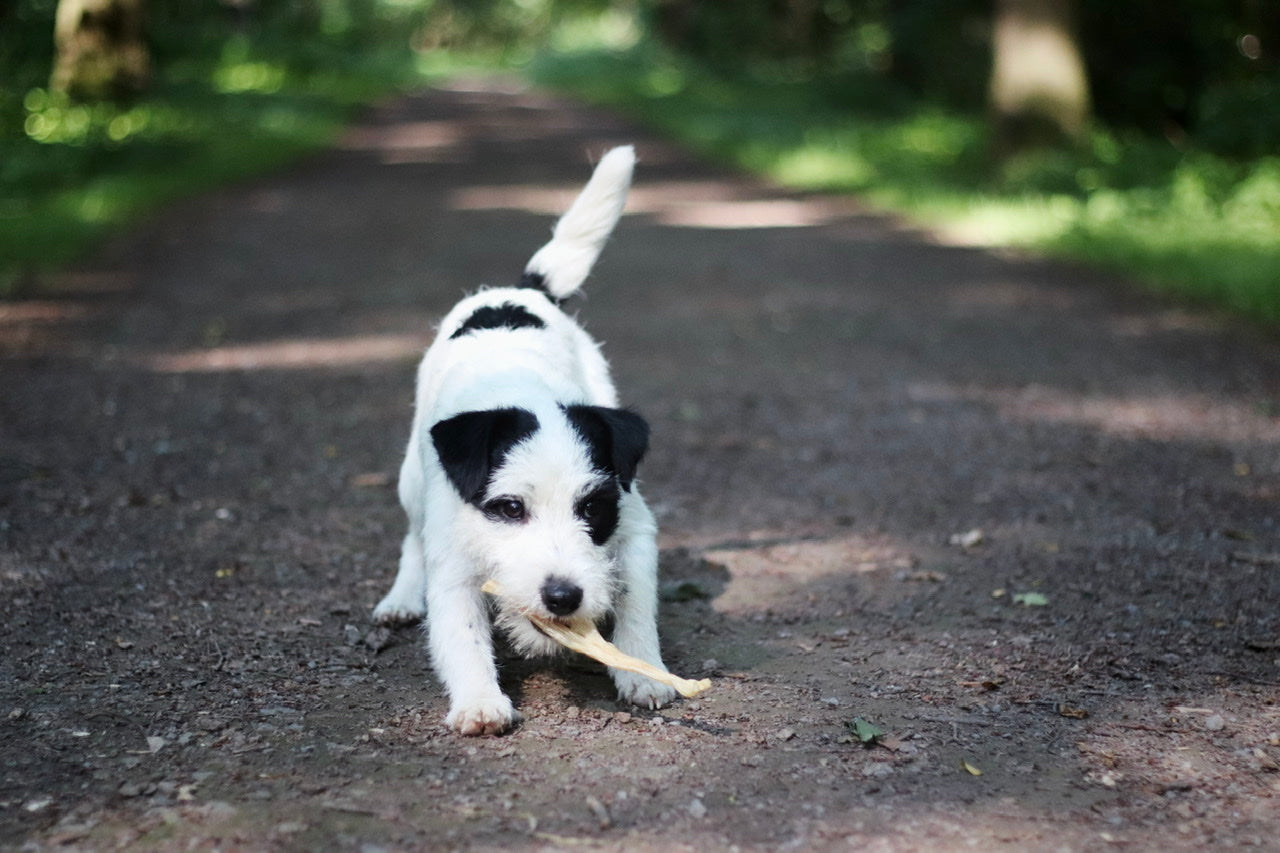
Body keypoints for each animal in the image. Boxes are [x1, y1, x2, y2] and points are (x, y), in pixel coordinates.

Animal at [373, 146, 680, 732]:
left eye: (593, 508)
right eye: (510, 508)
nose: (562, 596)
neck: (525, 390)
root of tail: (518, 289)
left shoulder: (633, 526)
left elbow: (636, 605)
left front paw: (643, 671)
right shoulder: (454, 565)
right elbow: (462, 634)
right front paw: (478, 700)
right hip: (411, 479)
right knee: (410, 538)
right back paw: (401, 597)